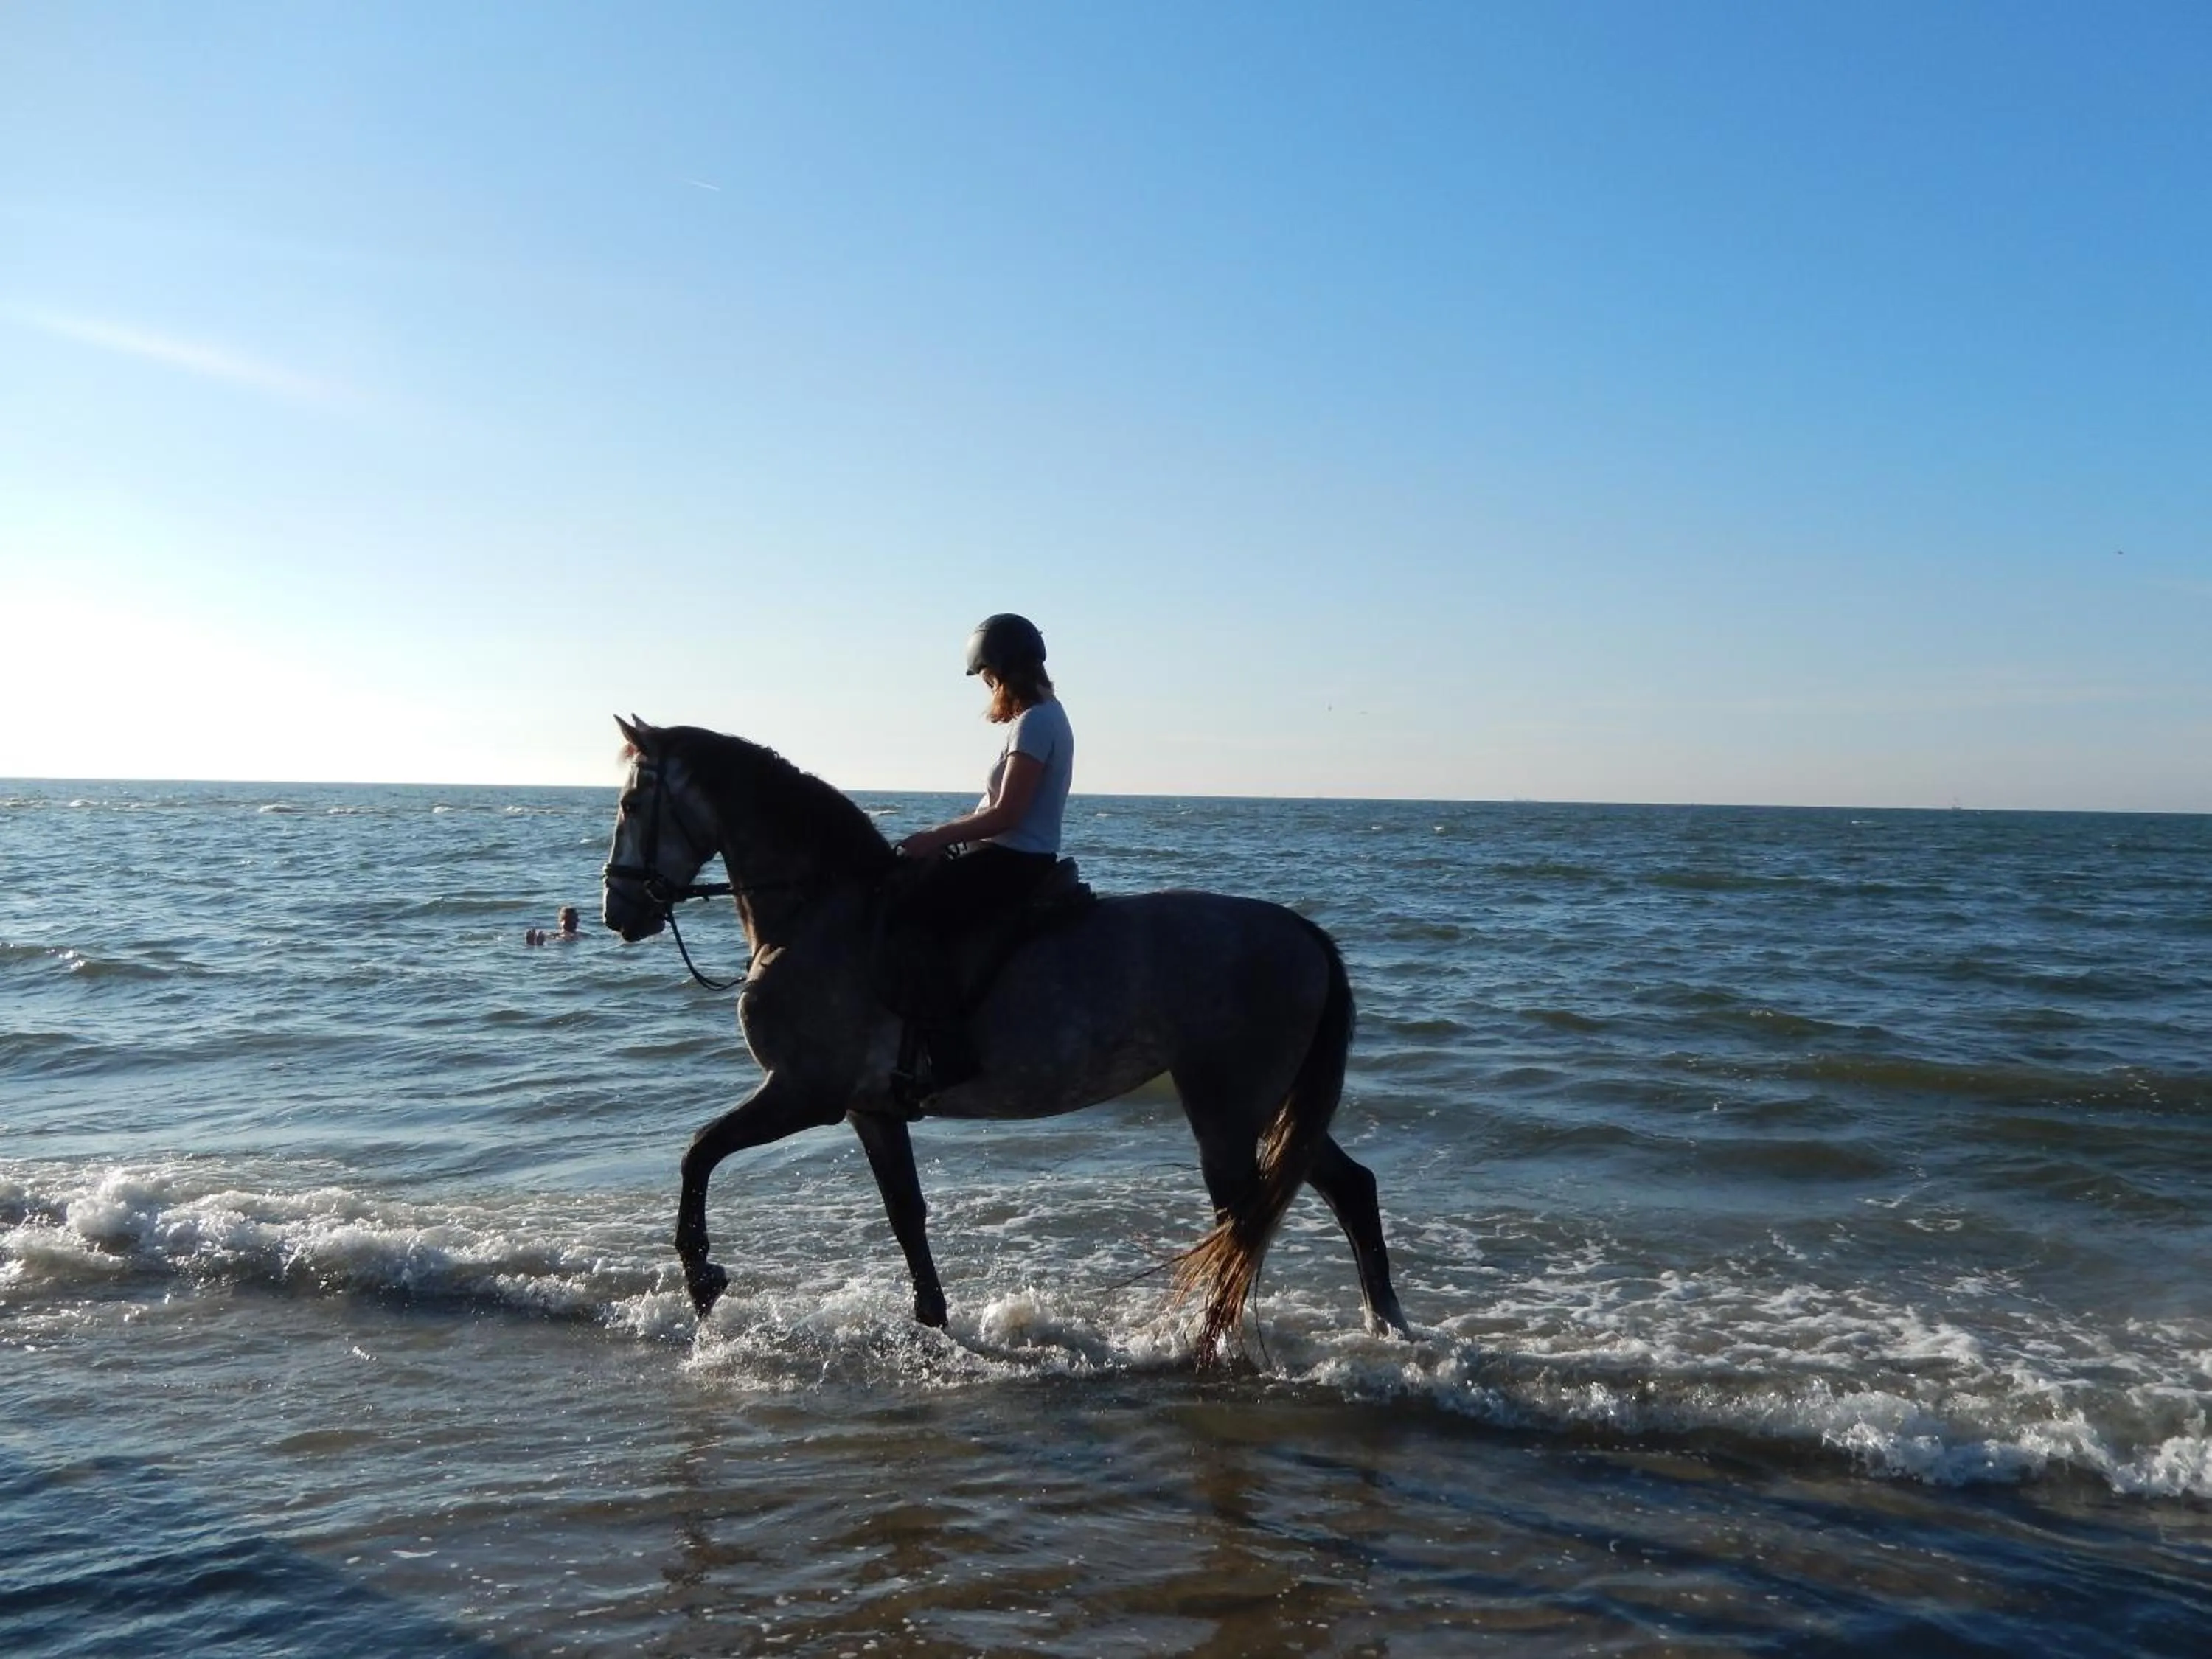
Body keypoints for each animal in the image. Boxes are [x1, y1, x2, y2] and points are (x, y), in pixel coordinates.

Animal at [600, 716, 1410, 1356]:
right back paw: (1386, 1326)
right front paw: (932, 1322)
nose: (617, 909)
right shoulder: (870, 1109)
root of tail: (1304, 934)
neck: (818, 912)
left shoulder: (806, 1093)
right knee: (1346, 1189)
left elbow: (698, 1154)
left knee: (1244, 1222)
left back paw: (1210, 1342)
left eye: (632, 802)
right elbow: (905, 1214)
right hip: (1268, 1103)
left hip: (1226, 1108)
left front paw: (704, 1281)